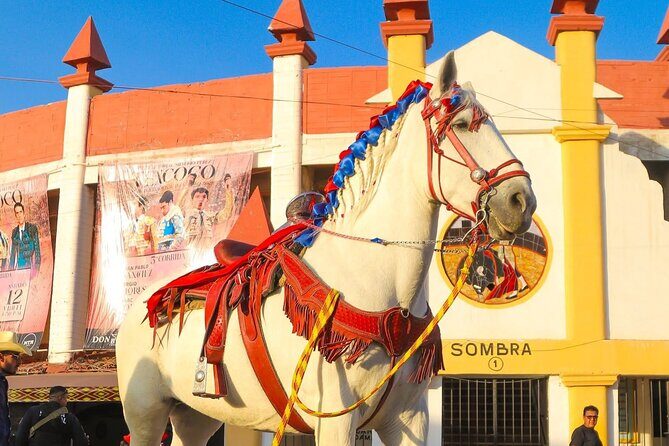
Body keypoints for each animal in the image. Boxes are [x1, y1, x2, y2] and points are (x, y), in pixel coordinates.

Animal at [116, 52, 537, 446]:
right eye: (462, 125)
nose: (522, 201)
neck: (379, 284)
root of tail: (141, 306)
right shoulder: (335, 419)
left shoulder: (410, 417)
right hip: (144, 414)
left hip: (196, 413)